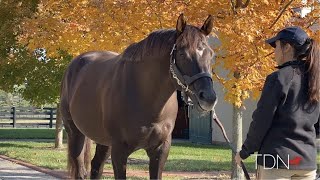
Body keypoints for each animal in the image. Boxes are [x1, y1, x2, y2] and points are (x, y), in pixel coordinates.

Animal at [60, 13, 218, 179]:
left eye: (211, 54)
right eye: (182, 53)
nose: (208, 98)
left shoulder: (160, 151)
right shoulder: (119, 151)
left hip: (104, 141)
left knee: (96, 166)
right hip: (75, 133)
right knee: (80, 170)